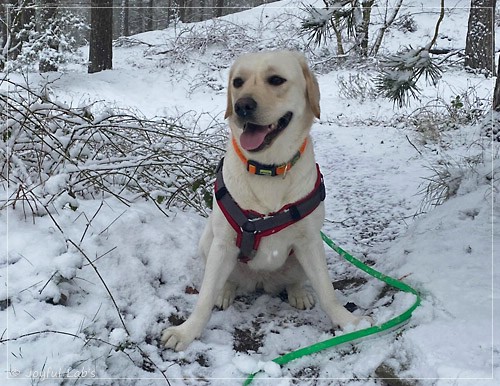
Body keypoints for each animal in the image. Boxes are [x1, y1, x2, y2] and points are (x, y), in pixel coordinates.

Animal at [162, 49, 366, 352]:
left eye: (276, 80)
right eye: (237, 82)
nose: (242, 106)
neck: (267, 169)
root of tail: (261, 281)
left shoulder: (310, 240)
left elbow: (328, 291)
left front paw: (349, 322)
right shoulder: (223, 242)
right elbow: (204, 296)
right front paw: (186, 331)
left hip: (305, 255)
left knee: (297, 280)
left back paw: (299, 293)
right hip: (208, 243)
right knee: (223, 279)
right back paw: (225, 291)